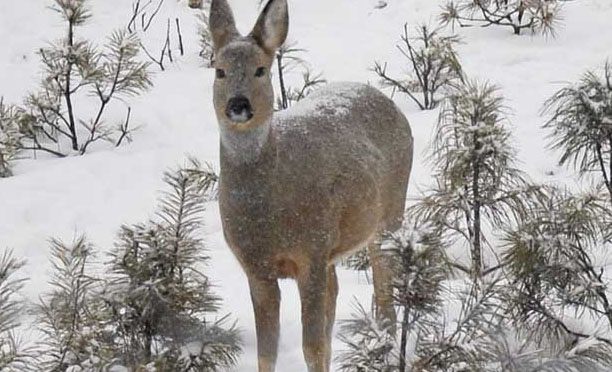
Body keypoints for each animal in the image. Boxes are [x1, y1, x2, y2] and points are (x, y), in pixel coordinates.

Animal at [208, 1, 414, 370]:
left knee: (383, 292)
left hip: (389, 213)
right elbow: (267, 349)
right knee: (340, 293)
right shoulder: (256, 267)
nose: (238, 105)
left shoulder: (311, 252)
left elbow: (312, 346)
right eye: (219, 71)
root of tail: (387, 100)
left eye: (261, 70)